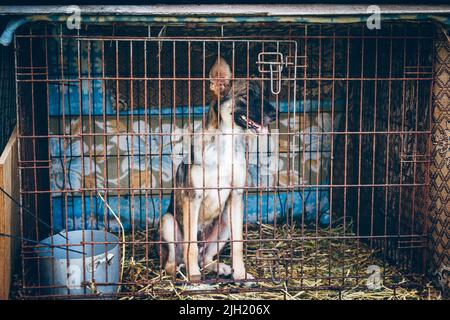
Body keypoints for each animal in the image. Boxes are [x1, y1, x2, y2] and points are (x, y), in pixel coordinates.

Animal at [158, 57, 278, 282]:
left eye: (265, 95)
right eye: (246, 97)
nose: (276, 114)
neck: (227, 143)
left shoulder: (236, 197)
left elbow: (238, 245)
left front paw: (240, 274)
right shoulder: (193, 197)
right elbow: (190, 246)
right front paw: (194, 278)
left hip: (224, 226)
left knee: (205, 258)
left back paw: (220, 267)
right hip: (168, 221)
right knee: (175, 260)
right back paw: (182, 269)